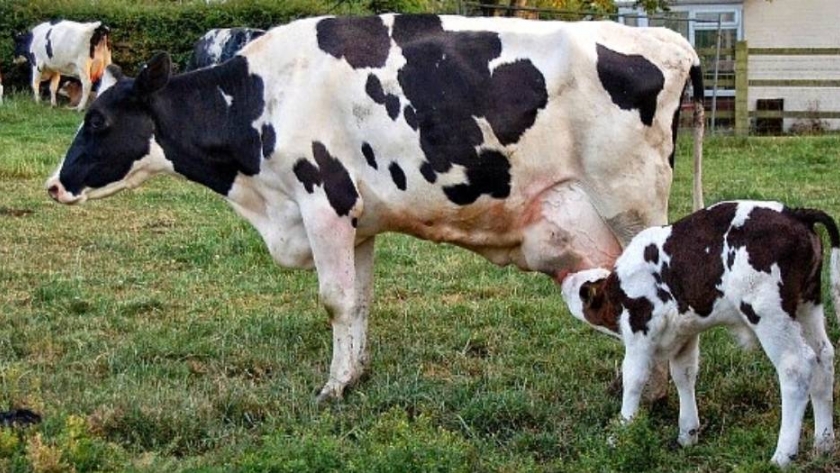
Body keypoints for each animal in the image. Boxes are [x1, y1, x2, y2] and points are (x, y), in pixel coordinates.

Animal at [45, 14, 705, 402]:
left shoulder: (322, 200)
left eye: (98, 120)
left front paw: (331, 391)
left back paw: (651, 396)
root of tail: (670, 41)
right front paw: (354, 376)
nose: (53, 184)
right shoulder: (356, 220)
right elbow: (358, 301)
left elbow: (334, 300)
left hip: (632, 206)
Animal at [561, 201, 840, 466]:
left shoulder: (640, 332)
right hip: (807, 306)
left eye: (583, 291)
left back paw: (782, 457)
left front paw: (621, 432)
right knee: (823, 357)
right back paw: (823, 445)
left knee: (796, 367)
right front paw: (687, 434)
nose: (566, 280)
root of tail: (796, 213)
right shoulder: (684, 333)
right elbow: (684, 375)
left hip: (769, 314)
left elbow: (634, 378)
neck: (619, 290)